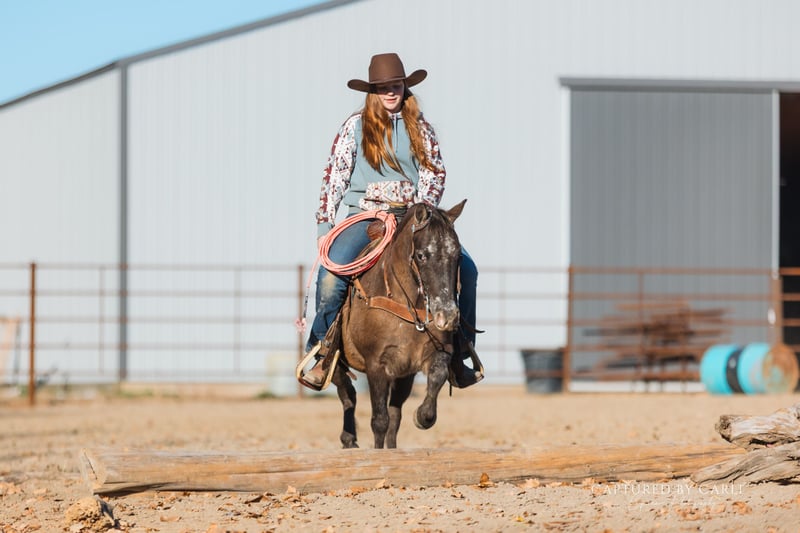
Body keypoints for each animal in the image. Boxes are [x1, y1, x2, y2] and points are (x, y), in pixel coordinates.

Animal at [330, 200, 467, 449]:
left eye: (458, 255)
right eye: (421, 255)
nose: (448, 316)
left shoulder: (428, 357)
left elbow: (435, 380)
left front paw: (422, 417)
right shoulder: (376, 365)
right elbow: (379, 420)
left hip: (403, 376)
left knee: (393, 415)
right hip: (335, 361)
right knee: (347, 393)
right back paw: (349, 439)